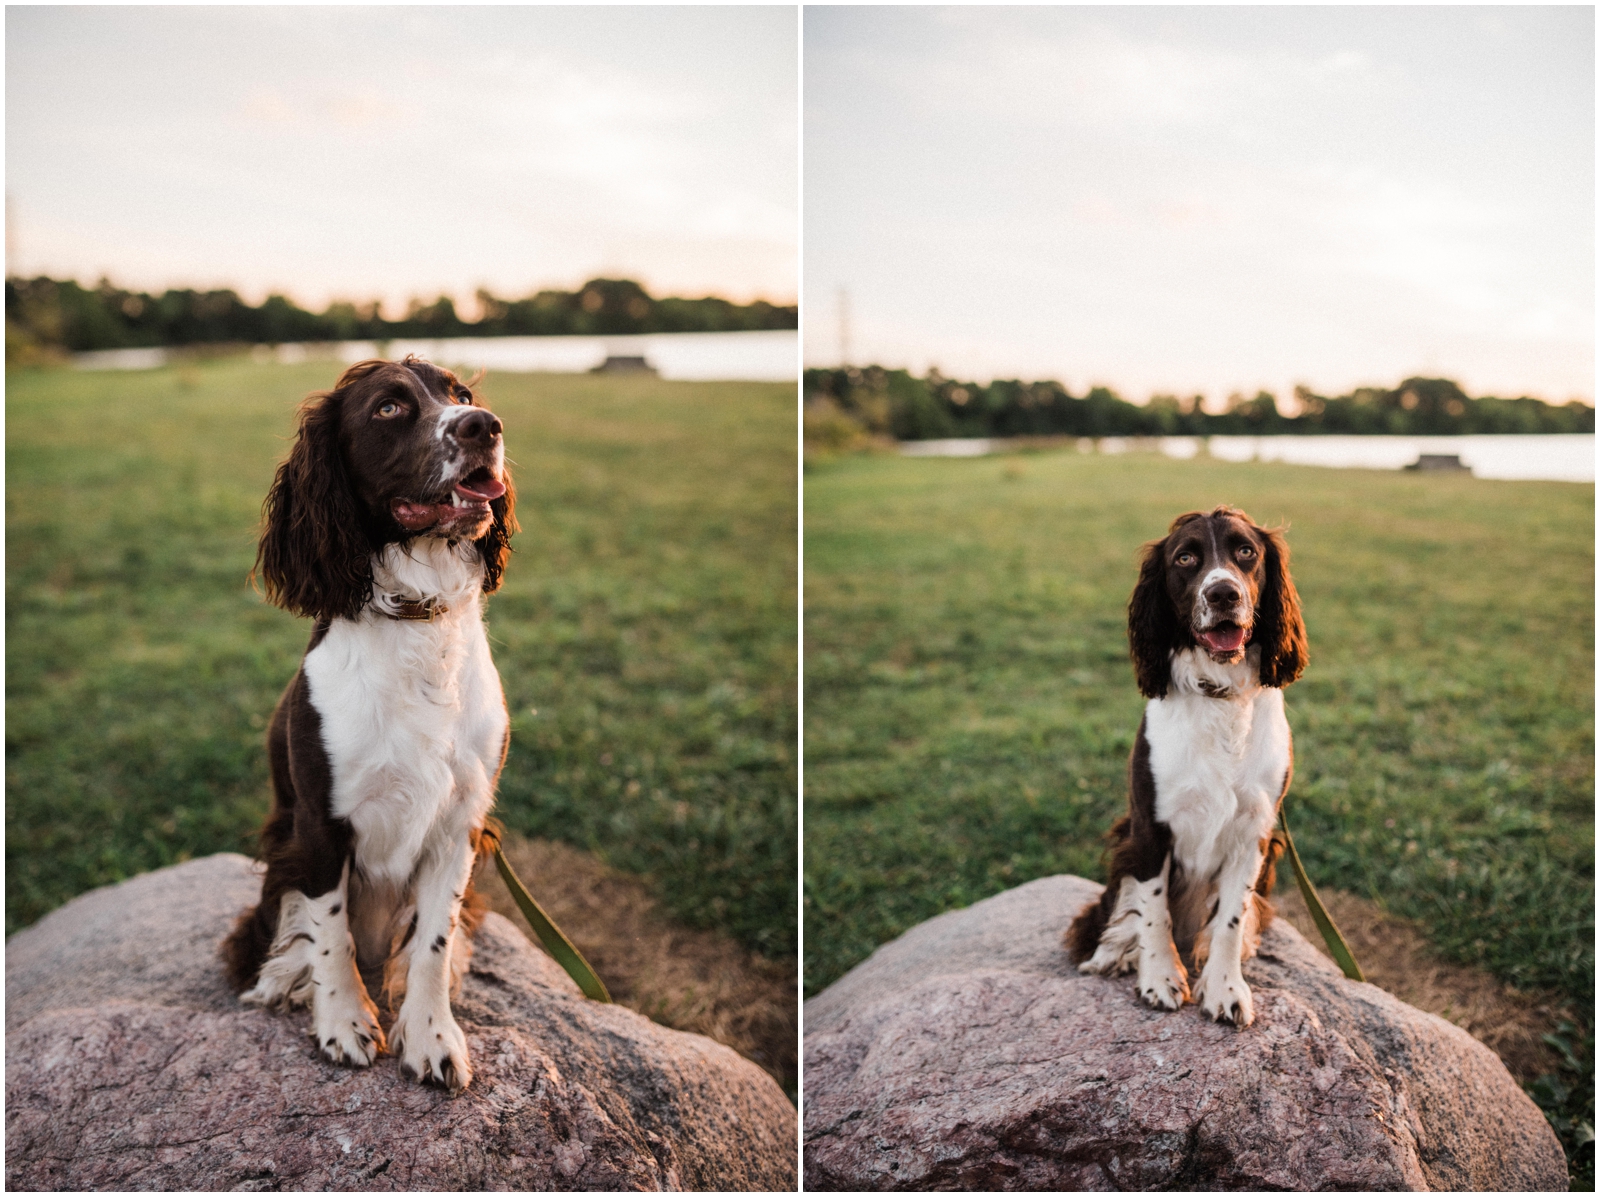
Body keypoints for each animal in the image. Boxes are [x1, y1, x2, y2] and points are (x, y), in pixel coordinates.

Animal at [220, 350, 512, 1088]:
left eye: (459, 394)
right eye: (388, 408)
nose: (484, 425)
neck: (418, 616)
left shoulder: (461, 824)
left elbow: (434, 940)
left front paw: (431, 1034)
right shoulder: (319, 822)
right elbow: (330, 931)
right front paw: (344, 1022)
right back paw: (284, 978)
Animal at [1062, 505, 1299, 1030]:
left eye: (1246, 551)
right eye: (1185, 558)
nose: (1223, 593)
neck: (1220, 694)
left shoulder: (1254, 833)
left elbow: (1231, 917)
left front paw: (1225, 987)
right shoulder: (1150, 826)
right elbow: (1152, 911)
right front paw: (1159, 978)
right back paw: (1113, 953)